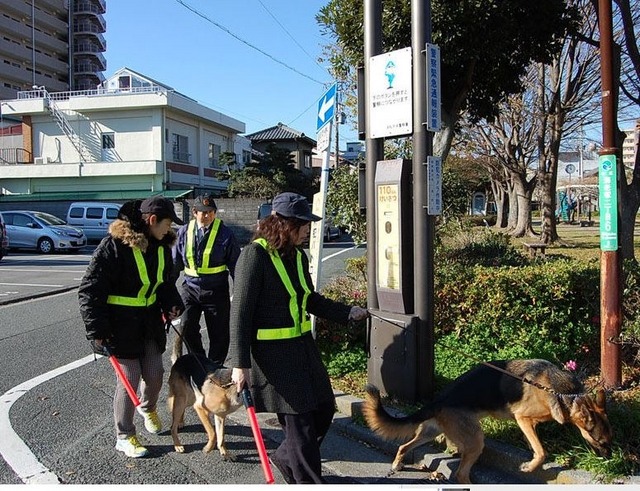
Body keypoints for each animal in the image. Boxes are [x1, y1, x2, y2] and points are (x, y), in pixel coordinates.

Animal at [362, 360, 612, 486]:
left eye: (610, 440)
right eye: (601, 441)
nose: (610, 460)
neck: (562, 392)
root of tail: (439, 400)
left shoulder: (527, 424)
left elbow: (535, 444)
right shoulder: (523, 418)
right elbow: (542, 451)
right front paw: (529, 466)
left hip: (430, 433)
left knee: (404, 446)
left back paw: (399, 463)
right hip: (475, 441)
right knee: (461, 475)